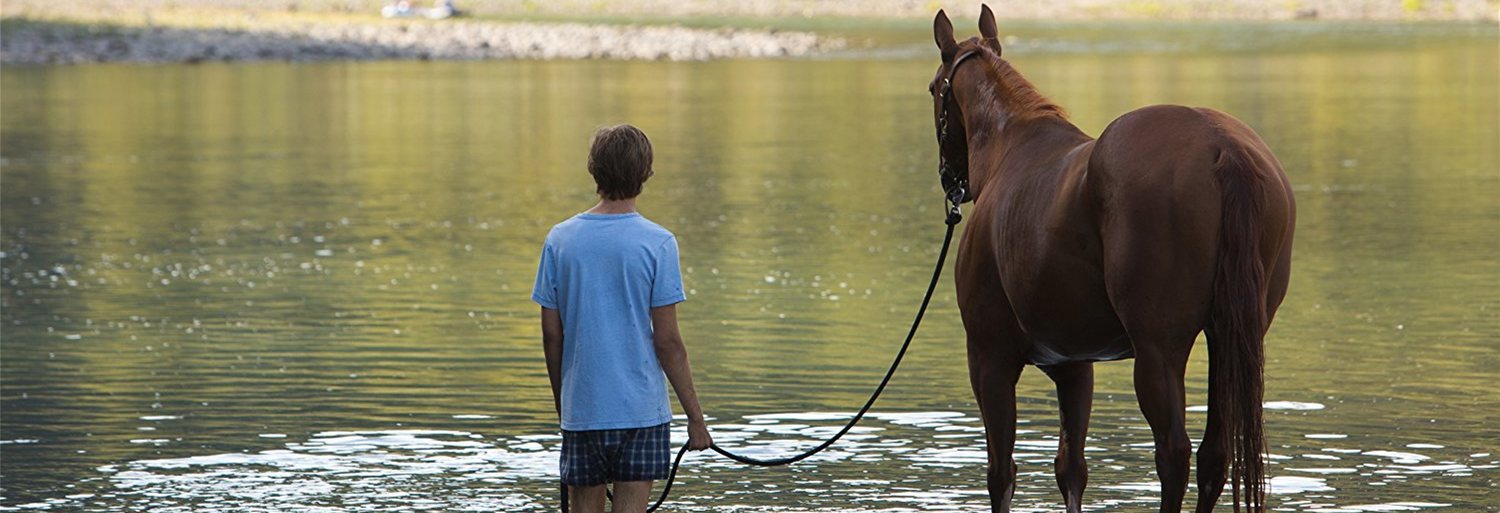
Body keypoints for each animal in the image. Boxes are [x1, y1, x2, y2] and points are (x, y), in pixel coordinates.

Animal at [924, 5, 1290, 513]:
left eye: (933, 89)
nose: (948, 178)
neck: (1010, 147)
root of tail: (1223, 146)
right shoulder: (1073, 365)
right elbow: (1071, 469)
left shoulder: (989, 358)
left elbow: (1002, 474)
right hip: (1227, 337)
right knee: (1214, 454)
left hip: (1159, 349)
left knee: (1173, 453)